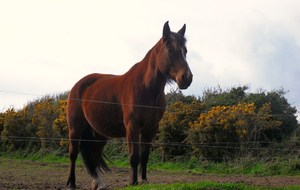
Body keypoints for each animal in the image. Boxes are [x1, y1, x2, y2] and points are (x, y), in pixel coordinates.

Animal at [66, 21, 192, 189]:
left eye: (185, 51)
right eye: (170, 49)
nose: (187, 78)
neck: (146, 89)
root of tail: (78, 85)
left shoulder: (151, 128)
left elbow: (145, 156)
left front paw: (144, 180)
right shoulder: (132, 126)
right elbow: (134, 156)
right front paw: (133, 182)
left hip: (99, 134)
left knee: (93, 156)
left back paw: (98, 183)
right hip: (75, 128)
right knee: (73, 154)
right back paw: (72, 183)